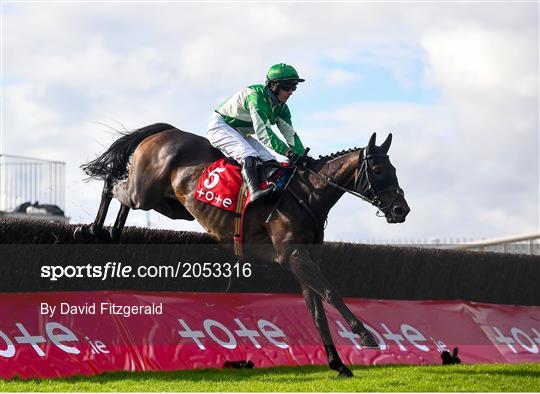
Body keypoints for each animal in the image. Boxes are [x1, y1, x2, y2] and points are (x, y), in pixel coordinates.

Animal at [78, 122, 410, 376]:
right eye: (377, 169)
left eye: (394, 168)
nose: (401, 210)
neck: (306, 195)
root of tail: (165, 131)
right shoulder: (294, 256)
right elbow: (330, 293)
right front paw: (366, 335)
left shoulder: (303, 261)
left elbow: (316, 311)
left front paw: (338, 364)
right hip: (145, 191)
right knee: (112, 184)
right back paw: (92, 228)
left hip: (170, 205)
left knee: (124, 198)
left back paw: (111, 232)